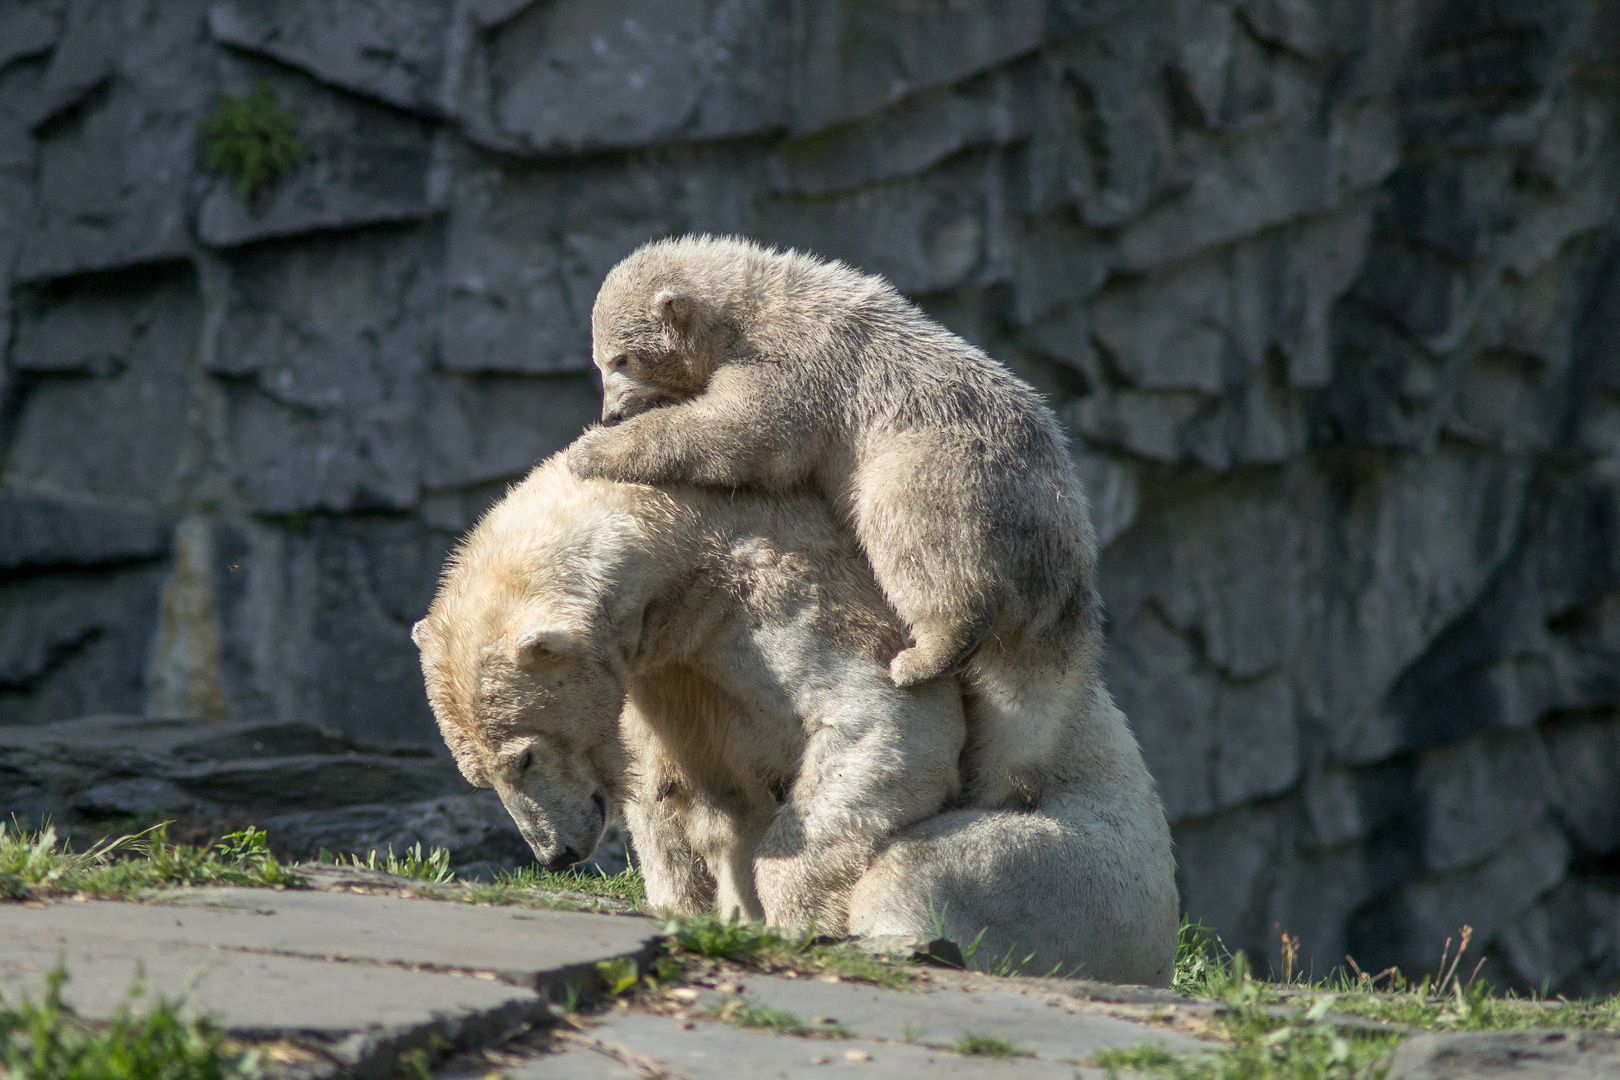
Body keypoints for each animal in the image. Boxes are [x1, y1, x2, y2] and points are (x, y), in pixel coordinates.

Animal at [414, 459, 1179, 990]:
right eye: (479, 776)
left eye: (525, 758)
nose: (554, 855)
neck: (681, 532)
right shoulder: (666, 670)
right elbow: (669, 799)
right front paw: (691, 907)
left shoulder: (778, 583)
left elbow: (883, 720)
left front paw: (793, 919)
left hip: (1085, 870)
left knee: (923, 867)